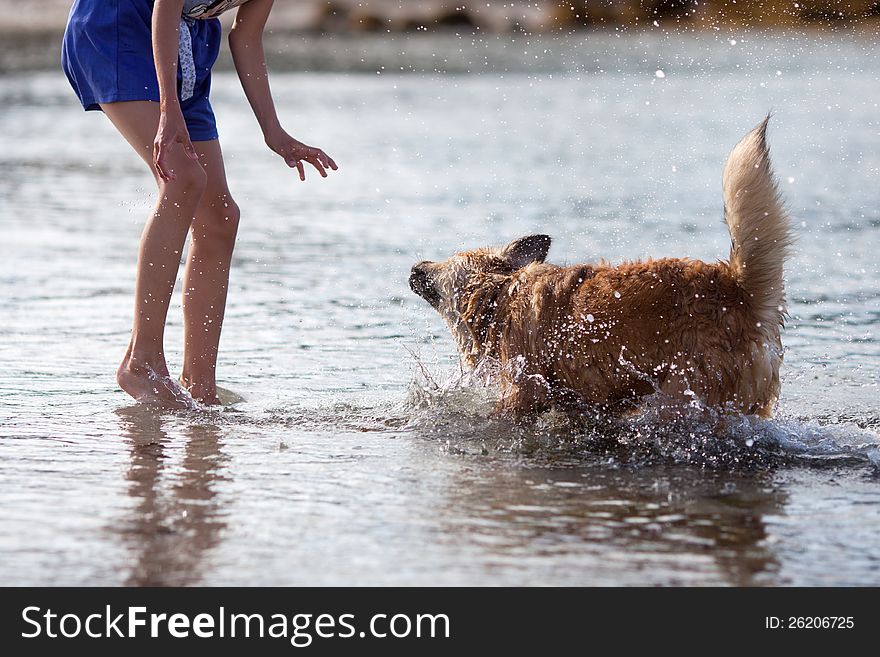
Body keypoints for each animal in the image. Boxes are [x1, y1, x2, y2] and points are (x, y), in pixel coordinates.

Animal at [410, 116, 796, 418]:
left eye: (445, 261)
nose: (414, 267)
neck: (500, 294)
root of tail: (738, 288)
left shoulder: (524, 390)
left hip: (683, 395)